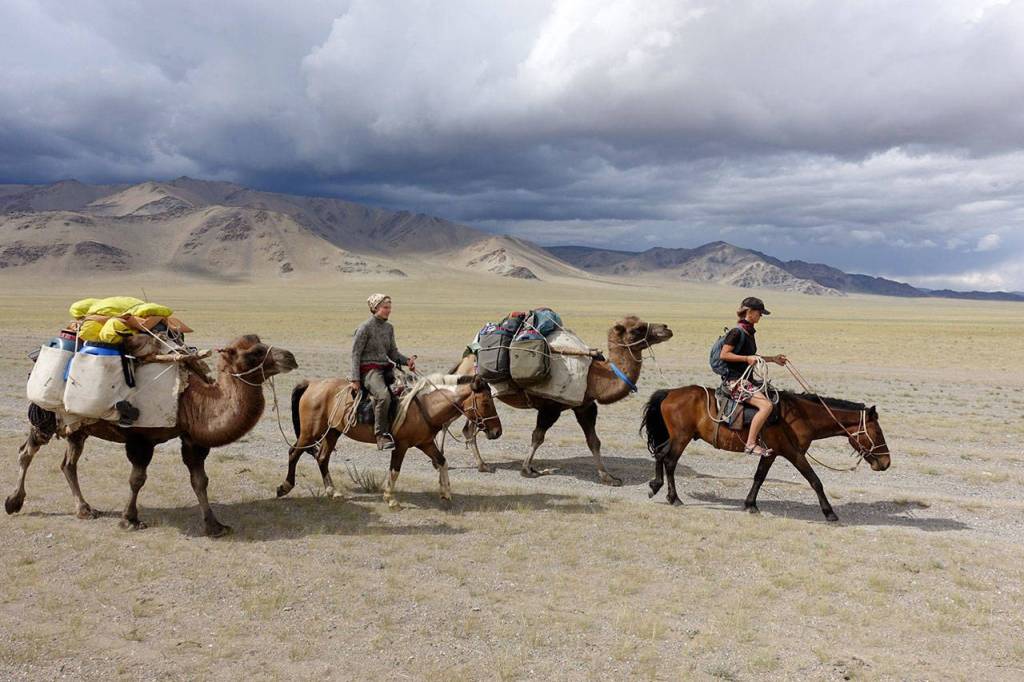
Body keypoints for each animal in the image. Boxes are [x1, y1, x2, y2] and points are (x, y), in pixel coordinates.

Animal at [5, 335, 298, 537]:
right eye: (255, 352)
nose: (290, 357)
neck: (189, 398)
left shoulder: (191, 438)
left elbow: (200, 481)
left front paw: (214, 525)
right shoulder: (140, 439)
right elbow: (137, 479)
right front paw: (130, 519)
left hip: (78, 427)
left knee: (68, 463)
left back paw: (84, 509)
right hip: (45, 416)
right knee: (27, 452)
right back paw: (13, 502)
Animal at [280, 374, 502, 509]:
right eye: (486, 402)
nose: (497, 431)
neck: (425, 406)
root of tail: (311, 384)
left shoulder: (426, 443)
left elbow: (442, 461)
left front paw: (446, 493)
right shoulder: (401, 445)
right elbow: (395, 470)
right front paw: (390, 498)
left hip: (333, 432)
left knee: (322, 458)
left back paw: (332, 492)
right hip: (310, 433)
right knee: (294, 452)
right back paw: (285, 486)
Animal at [453, 316, 673, 485]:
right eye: (637, 329)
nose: (666, 328)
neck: (594, 377)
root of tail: (466, 359)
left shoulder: (585, 406)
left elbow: (594, 441)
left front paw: (608, 477)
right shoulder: (551, 407)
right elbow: (538, 437)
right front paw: (527, 470)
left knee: (468, 428)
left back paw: (480, 464)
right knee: (467, 426)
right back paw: (483, 465)